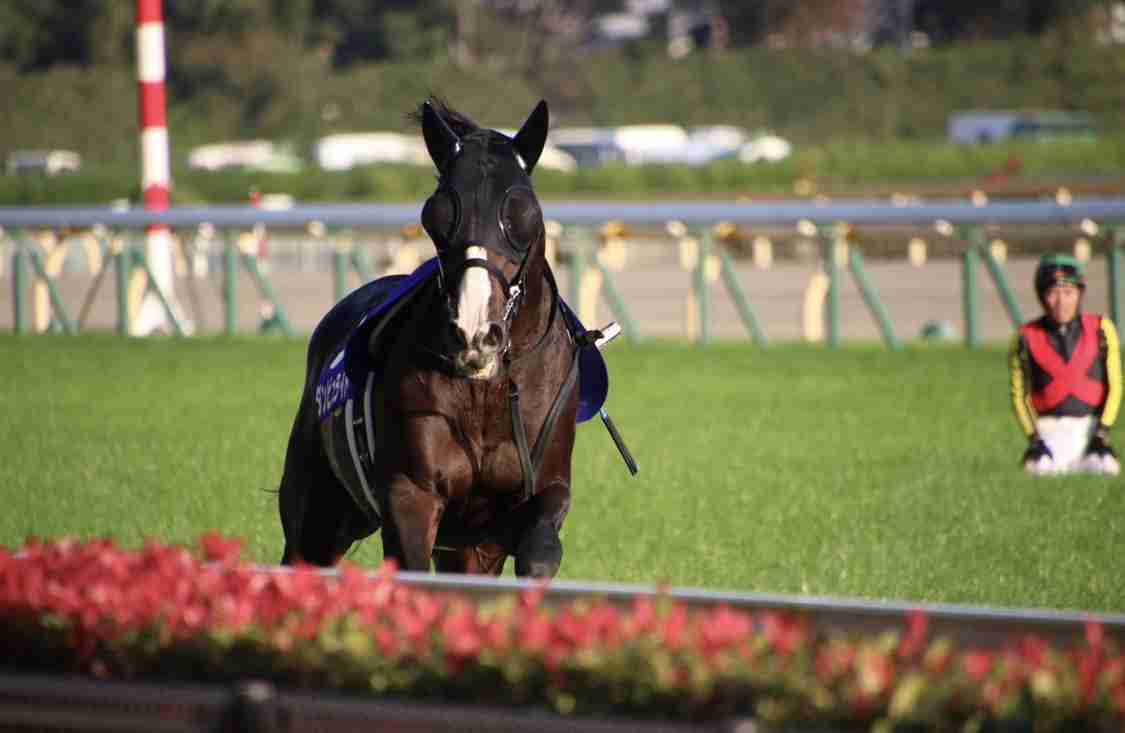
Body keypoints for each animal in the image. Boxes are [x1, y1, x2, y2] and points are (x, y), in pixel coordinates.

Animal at [278, 98, 618, 577]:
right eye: (436, 214)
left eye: (523, 213)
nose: (475, 333)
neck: (486, 392)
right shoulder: (411, 495)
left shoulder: (536, 493)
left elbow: (539, 551)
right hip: (319, 512)